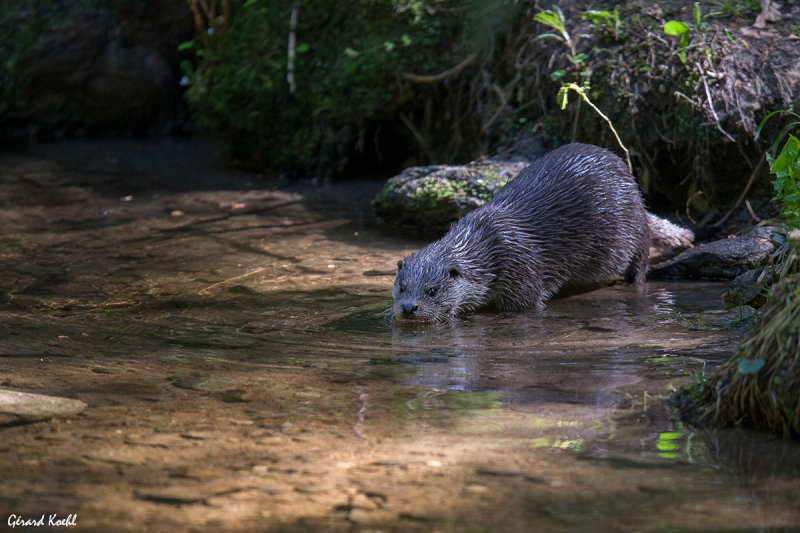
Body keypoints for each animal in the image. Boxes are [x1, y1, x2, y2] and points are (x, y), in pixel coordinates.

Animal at [392, 141, 692, 322]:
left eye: (432, 291)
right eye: (402, 287)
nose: (408, 308)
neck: (490, 247)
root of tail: (636, 195)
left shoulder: (522, 273)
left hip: (629, 232)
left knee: (641, 258)